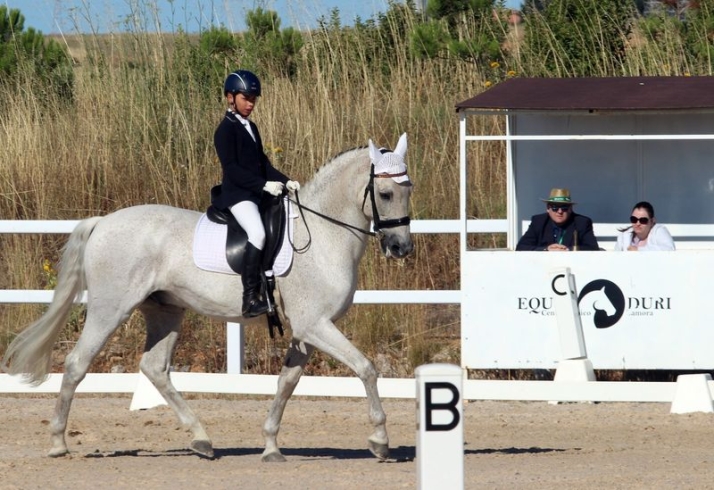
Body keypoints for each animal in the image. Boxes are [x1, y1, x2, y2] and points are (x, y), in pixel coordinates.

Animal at [1, 133, 412, 460]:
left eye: (409, 190)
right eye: (386, 193)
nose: (401, 248)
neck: (324, 234)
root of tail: (102, 221)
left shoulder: (307, 331)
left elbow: (287, 383)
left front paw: (271, 446)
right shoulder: (315, 325)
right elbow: (366, 368)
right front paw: (380, 440)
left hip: (165, 311)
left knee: (154, 367)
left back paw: (201, 439)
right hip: (110, 309)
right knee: (76, 364)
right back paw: (58, 443)